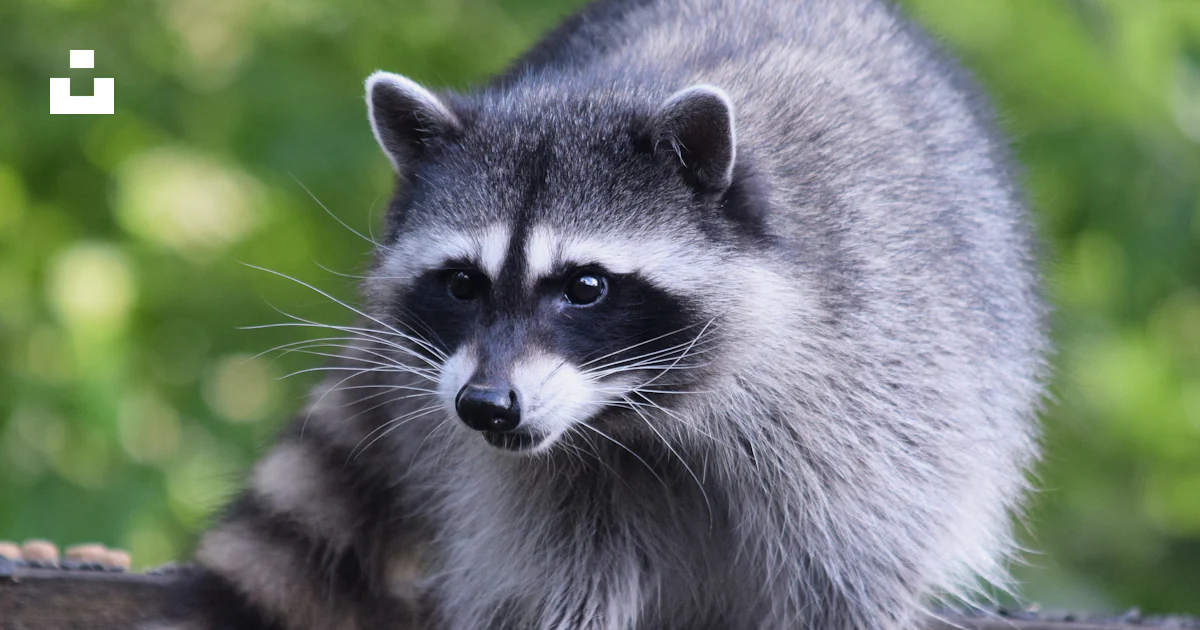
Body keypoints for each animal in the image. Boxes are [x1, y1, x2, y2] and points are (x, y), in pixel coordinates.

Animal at [160, 0, 1049, 628]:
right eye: (462, 284)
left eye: (585, 287)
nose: (485, 406)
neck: (635, 413)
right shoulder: (532, 479)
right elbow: (557, 582)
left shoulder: (875, 383)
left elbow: (850, 573)